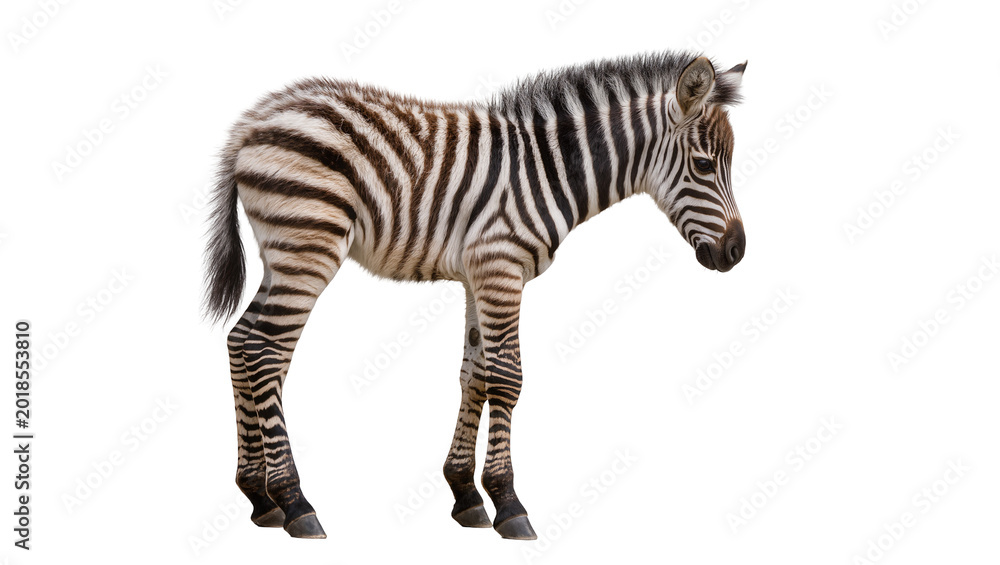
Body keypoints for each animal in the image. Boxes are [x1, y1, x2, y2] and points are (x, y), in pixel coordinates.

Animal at [204, 51, 747, 540]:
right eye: (704, 165)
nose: (737, 252)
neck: (550, 170)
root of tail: (253, 121)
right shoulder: (499, 266)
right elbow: (507, 379)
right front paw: (508, 503)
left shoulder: (477, 276)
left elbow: (474, 376)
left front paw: (465, 494)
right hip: (308, 246)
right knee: (267, 353)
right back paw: (295, 502)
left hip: (282, 253)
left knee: (241, 342)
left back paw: (259, 497)